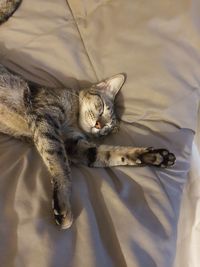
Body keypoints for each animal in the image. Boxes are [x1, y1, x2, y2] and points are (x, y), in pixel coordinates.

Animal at [0, 65, 176, 230]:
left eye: (108, 127)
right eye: (102, 107)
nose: (99, 125)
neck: (73, 122)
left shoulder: (76, 146)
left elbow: (111, 153)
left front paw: (154, 156)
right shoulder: (45, 118)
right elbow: (60, 164)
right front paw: (63, 203)